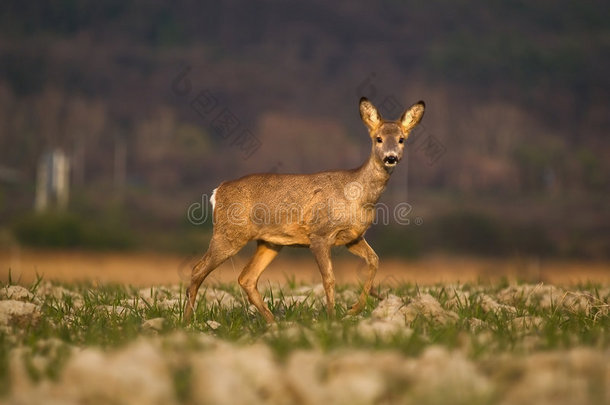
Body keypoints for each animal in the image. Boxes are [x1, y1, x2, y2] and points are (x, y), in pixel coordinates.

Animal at [183, 97, 426, 322]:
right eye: (378, 138)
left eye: (402, 139)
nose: (390, 157)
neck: (358, 196)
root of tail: (218, 191)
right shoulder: (319, 234)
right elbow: (329, 279)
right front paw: (332, 318)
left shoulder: (353, 237)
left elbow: (374, 260)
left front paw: (355, 308)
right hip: (229, 234)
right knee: (197, 270)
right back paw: (187, 321)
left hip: (269, 242)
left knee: (246, 278)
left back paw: (273, 322)